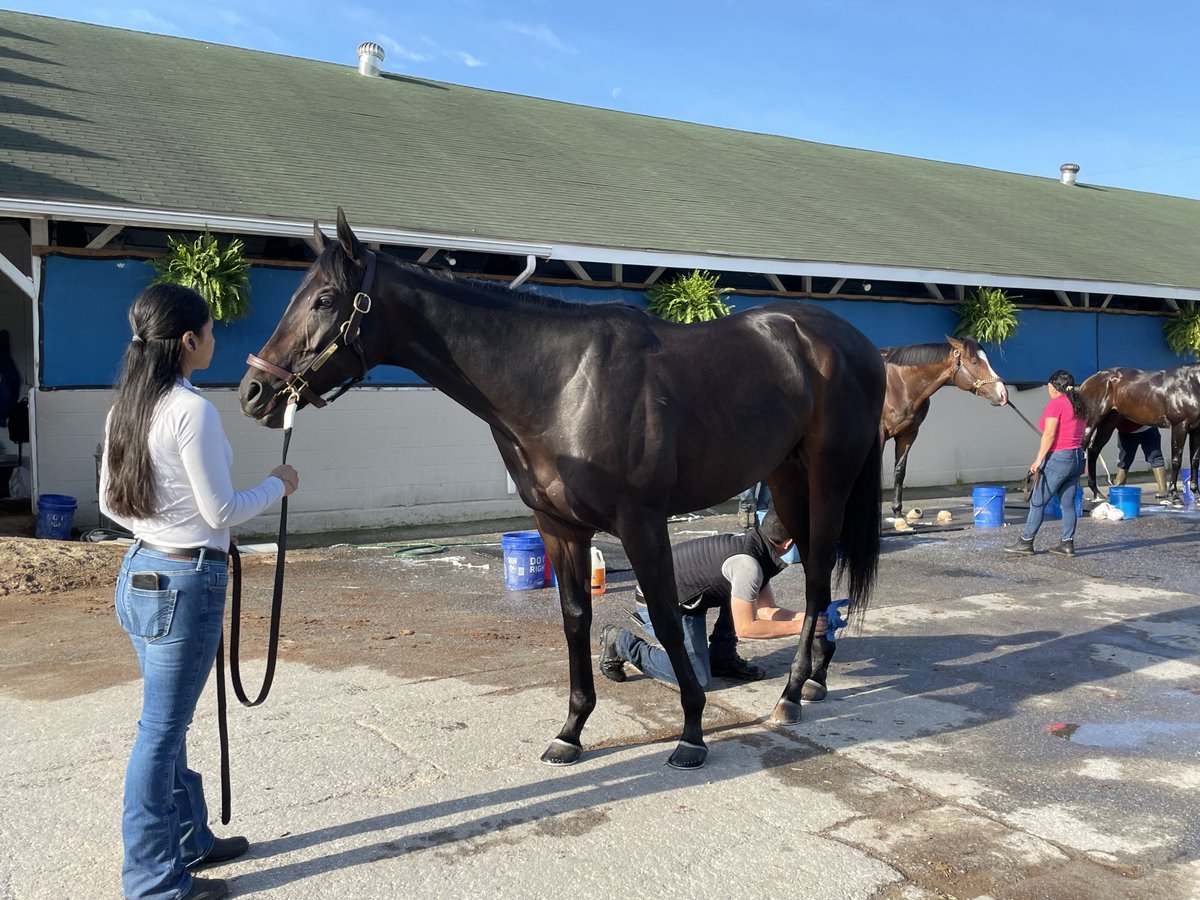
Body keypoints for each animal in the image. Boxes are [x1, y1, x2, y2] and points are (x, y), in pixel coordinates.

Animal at [238, 210, 888, 768]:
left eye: (324, 299)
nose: (253, 392)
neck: (563, 382)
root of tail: (851, 341)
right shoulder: (559, 526)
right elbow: (575, 617)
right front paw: (571, 732)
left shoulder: (640, 522)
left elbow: (666, 618)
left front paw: (692, 732)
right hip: (784, 477)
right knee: (816, 577)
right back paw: (815, 679)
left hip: (828, 476)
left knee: (816, 574)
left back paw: (791, 695)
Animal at [878, 338, 1008, 518]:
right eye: (974, 362)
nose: (1003, 394)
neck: (897, 384)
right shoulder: (879, 435)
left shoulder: (908, 434)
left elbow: (899, 472)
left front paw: (898, 513)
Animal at [1080, 367, 1200, 508]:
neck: (1191, 382)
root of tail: (1087, 382)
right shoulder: (1179, 426)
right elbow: (1177, 460)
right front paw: (1175, 496)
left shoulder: (1196, 430)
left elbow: (1194, 460)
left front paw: (1197, 494)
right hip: (1090, 422)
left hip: (1108, 423)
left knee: (1093, 450)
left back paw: (1097, 493)